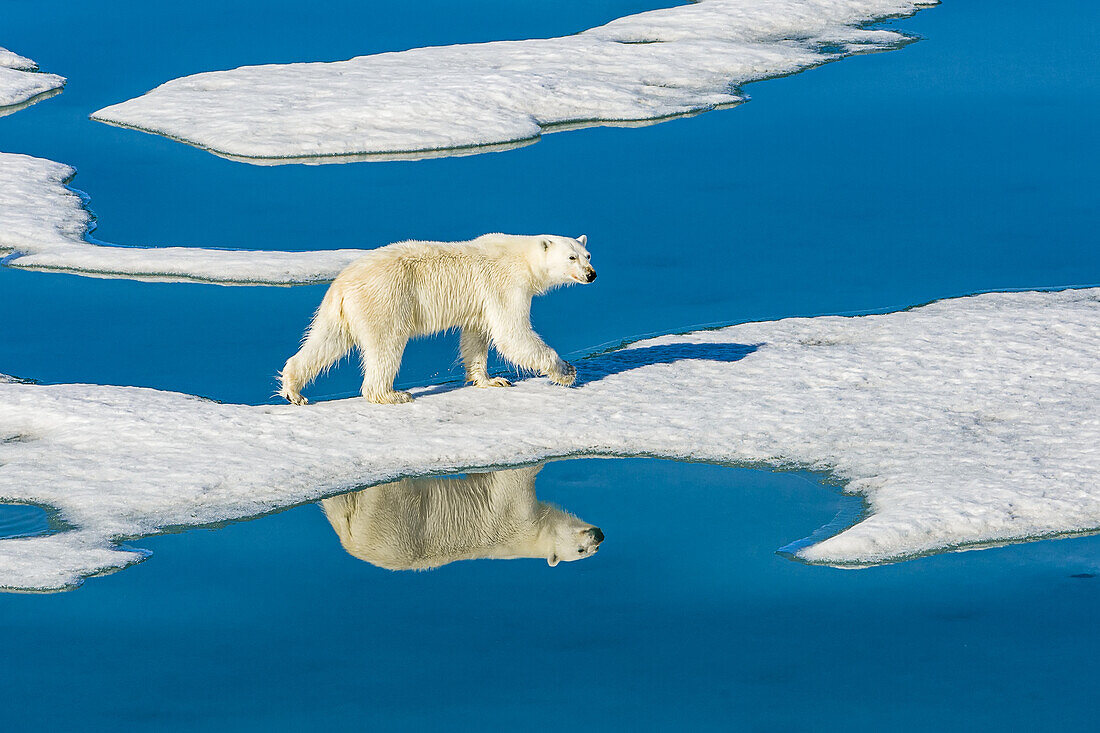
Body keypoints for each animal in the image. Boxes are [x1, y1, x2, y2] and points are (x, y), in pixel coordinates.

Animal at [279, 232, 598, 405]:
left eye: (588, 255)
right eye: (571, 257)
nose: (591, 275)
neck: (522, 258)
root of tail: (342, 284)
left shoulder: (480, 300)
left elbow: (476, 335)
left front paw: (490, 380)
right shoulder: (506, 285)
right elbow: (512, 334)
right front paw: (566, 371)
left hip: (340, 311)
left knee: (325, 343)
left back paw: (294, 390)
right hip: (385, 300)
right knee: (386, 346)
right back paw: (393, 394)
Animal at [321, 462, 607, 572]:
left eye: (593, 551)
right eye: (581, 550)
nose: (599, 535)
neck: (534, 534)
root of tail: (352, 539)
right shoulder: (517, 511)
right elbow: (517, 476)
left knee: (337, 504)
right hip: (388, 517)